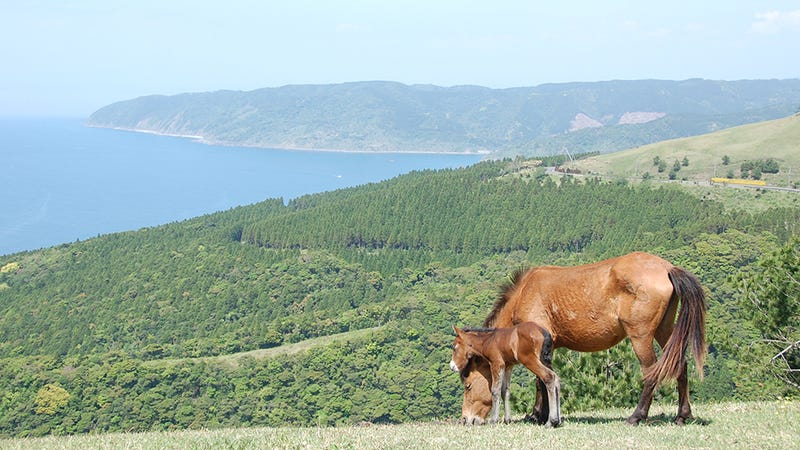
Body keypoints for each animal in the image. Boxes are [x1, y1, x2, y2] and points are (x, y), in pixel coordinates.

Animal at [459, 252, 706, 426]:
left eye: (468, 385)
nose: (466, 419)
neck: (524, 292)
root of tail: (666, 268)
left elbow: (541, 379)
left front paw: (540, 415)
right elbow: (545, 379)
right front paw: (543, 414)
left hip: (641, 335)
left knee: (651, 372)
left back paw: (636, 416)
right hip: (664, 330)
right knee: (680, 365)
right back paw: (682, 415)